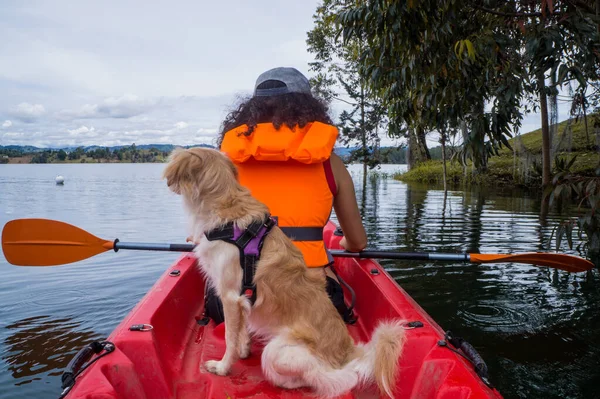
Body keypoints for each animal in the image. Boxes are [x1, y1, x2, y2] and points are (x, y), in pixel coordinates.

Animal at [164, 148, 408, 398]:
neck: (226, 213)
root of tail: (349, 354)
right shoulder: (242, 299)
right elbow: (241, 330)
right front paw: (244, 349)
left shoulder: (230, 297)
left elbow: (229, 337)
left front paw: (222, 367)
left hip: (277, 351)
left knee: (336, 380)